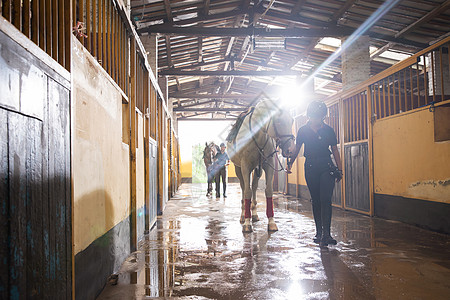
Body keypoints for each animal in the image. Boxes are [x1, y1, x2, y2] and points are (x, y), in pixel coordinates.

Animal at [227, 99, 294, 233]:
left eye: (292, 120)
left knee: (254, 186)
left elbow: (268, 191)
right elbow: (247, 192)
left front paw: (272, 222)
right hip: (239, 169)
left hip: (257, 169)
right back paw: (243, 216)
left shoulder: (268, 165)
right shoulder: (245, 165)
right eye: (278, 121)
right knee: (244, 188)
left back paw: (254, 214)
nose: (290, 150)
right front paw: (247, 224)